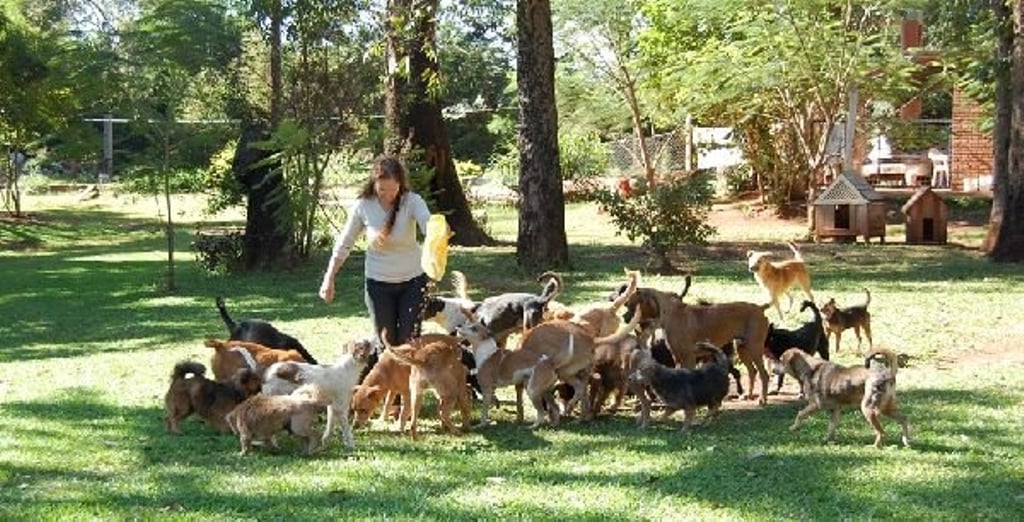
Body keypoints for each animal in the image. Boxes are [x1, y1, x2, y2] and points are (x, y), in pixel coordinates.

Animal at [610, 282, 770, 405]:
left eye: (628, 304)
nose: (624, 318)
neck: (670, 312)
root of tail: (760, 308)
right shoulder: (677, 358)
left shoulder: (688, 358)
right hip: (743, 348)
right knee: (752, 371)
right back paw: (748, 395)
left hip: (754, 349)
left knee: (764, 374)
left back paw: (762, 399)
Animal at [778, 345, 917, 448]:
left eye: (781, 360)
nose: (773, 370)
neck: (809, 368)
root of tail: (888, 373)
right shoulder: (835, 410)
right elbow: (831, 427)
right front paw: (827, 440)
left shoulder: (816, 405)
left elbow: (800, 414)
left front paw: (793, 427)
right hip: (887, 408)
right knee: (904, 419)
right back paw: (906, 441)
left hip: (868, 409)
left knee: (882, 433)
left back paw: (873, 447)